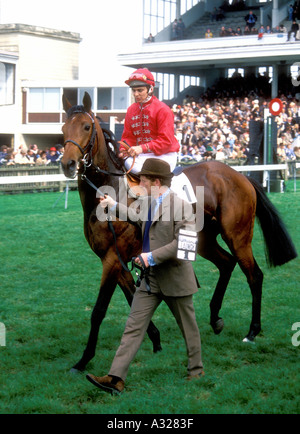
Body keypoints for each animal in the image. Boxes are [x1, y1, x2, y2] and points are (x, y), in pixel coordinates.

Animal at [61, 90, 298, 370]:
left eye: (86, 127)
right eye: (63, 128)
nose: (67, 164)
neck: (110, 190)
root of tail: (239, 175)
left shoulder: (112, 259)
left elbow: (99, 311)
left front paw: (84, 359)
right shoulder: (114, 260)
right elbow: (132, 297)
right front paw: (154, 339)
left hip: (238, 238)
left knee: (254, 275)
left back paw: (252, 331)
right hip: (203, 240)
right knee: (227, 263)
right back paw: (215, 319)